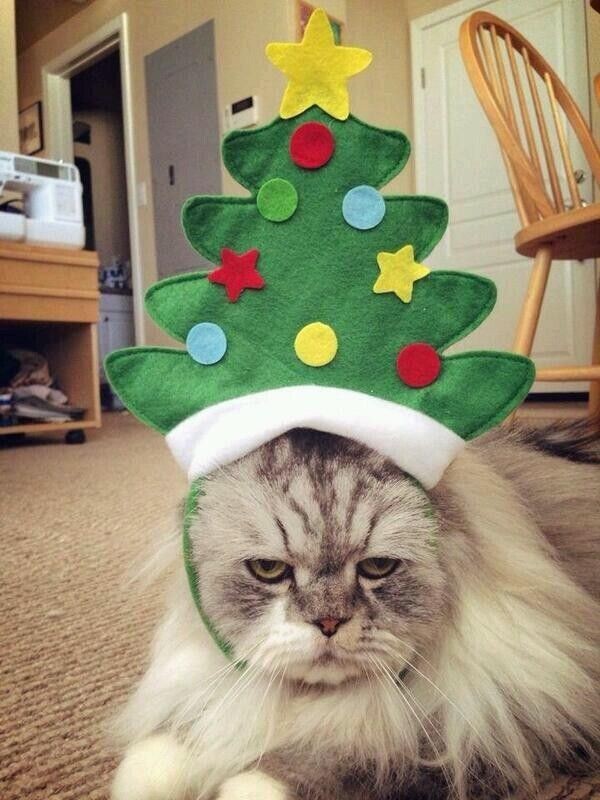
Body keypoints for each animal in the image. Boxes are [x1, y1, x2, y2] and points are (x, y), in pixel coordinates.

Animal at [111, 420, 600, 800]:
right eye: (269, 569)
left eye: (377, 567)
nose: (328, 623)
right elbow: (163, 751)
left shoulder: (472, 734)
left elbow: (321, 766)